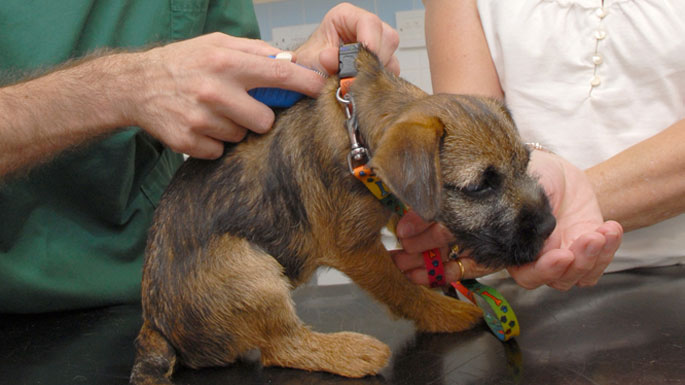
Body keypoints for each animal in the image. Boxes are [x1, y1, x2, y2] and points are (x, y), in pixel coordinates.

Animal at [128, 46, 556, 382]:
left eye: (526, 164)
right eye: (481, 186)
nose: (550, 226)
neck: (359, 136)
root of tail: (156, 325)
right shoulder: (353, 248)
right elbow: (400, 287)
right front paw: (443, 311)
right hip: (246, 264)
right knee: (281, 347)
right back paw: (353, 352)